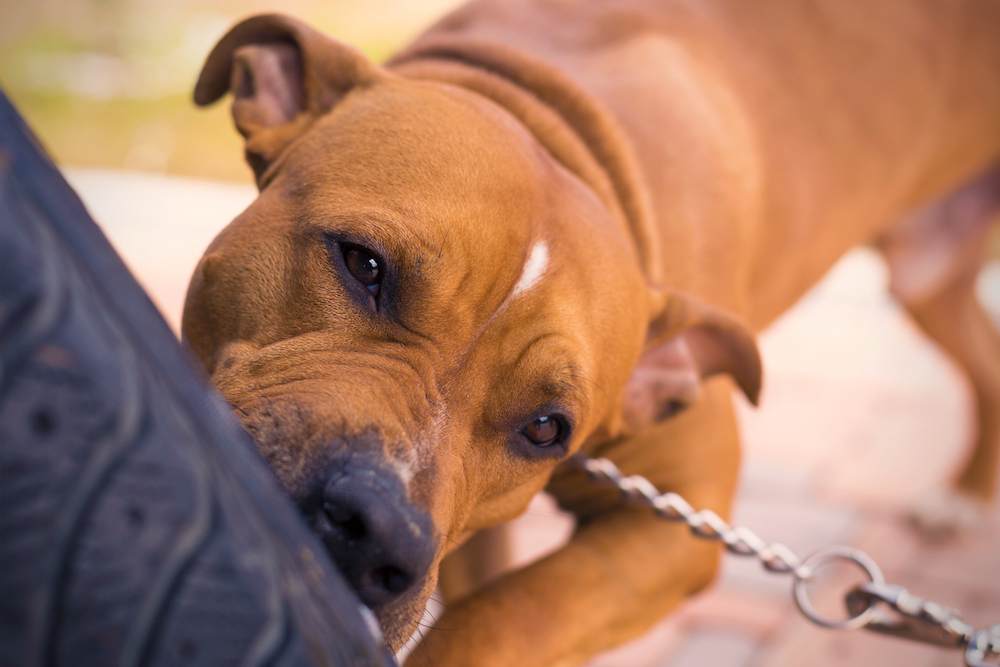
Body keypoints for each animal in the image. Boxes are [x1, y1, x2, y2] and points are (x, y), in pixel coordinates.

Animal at [184, 2, 1000, 664]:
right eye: (363, 263)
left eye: (548, 428)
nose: (381, 531)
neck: (562, 123)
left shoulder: (679, 519)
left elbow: (508, 614)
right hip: (927, 281)